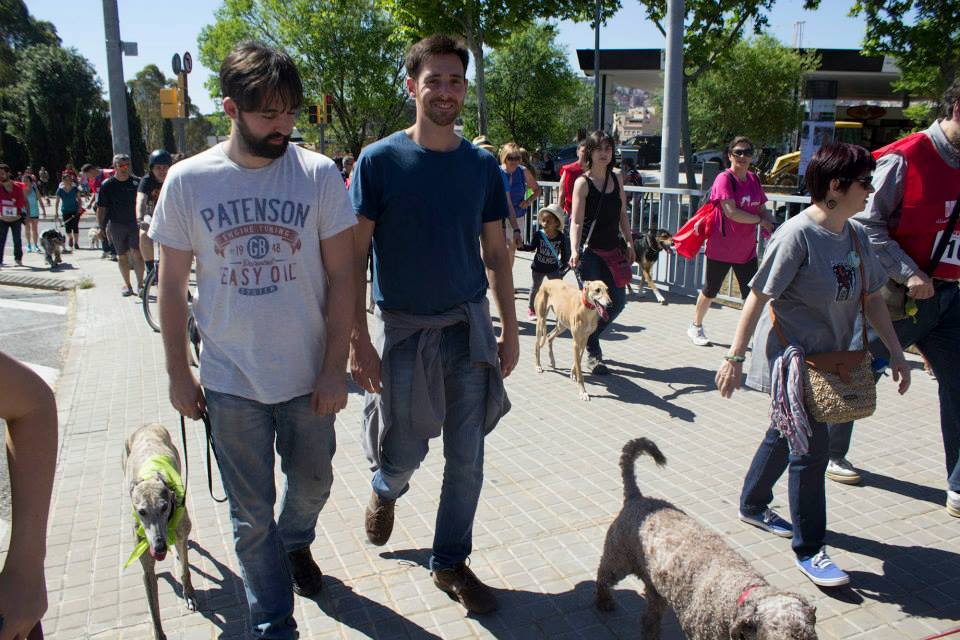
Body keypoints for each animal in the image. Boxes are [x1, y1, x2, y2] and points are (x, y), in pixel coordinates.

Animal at [124, 424, 198, 640]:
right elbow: (153, 609)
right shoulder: (146, 563)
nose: (159, 547)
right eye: (141, 511)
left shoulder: (180, 534)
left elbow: (184, 570)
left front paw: (189, 595)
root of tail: (146, 425)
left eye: (164, 507)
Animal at [592, 440, 816, 640]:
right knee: (603, 576)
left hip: (656, 588)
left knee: (649, 619)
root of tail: (637, 497)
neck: (733, 597)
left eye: (810, 636)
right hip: (619, 560)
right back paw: (604, 601)